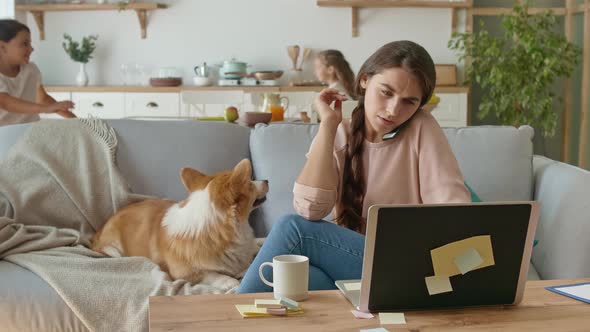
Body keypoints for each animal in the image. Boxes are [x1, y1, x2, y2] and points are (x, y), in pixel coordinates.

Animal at [92, 160, 268, 284]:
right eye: (251, 182)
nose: (266, 180)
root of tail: (98, 233)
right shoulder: (184, 273)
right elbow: (215, 275)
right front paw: (232, 281)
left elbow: (257, 245)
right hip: (114, 246)